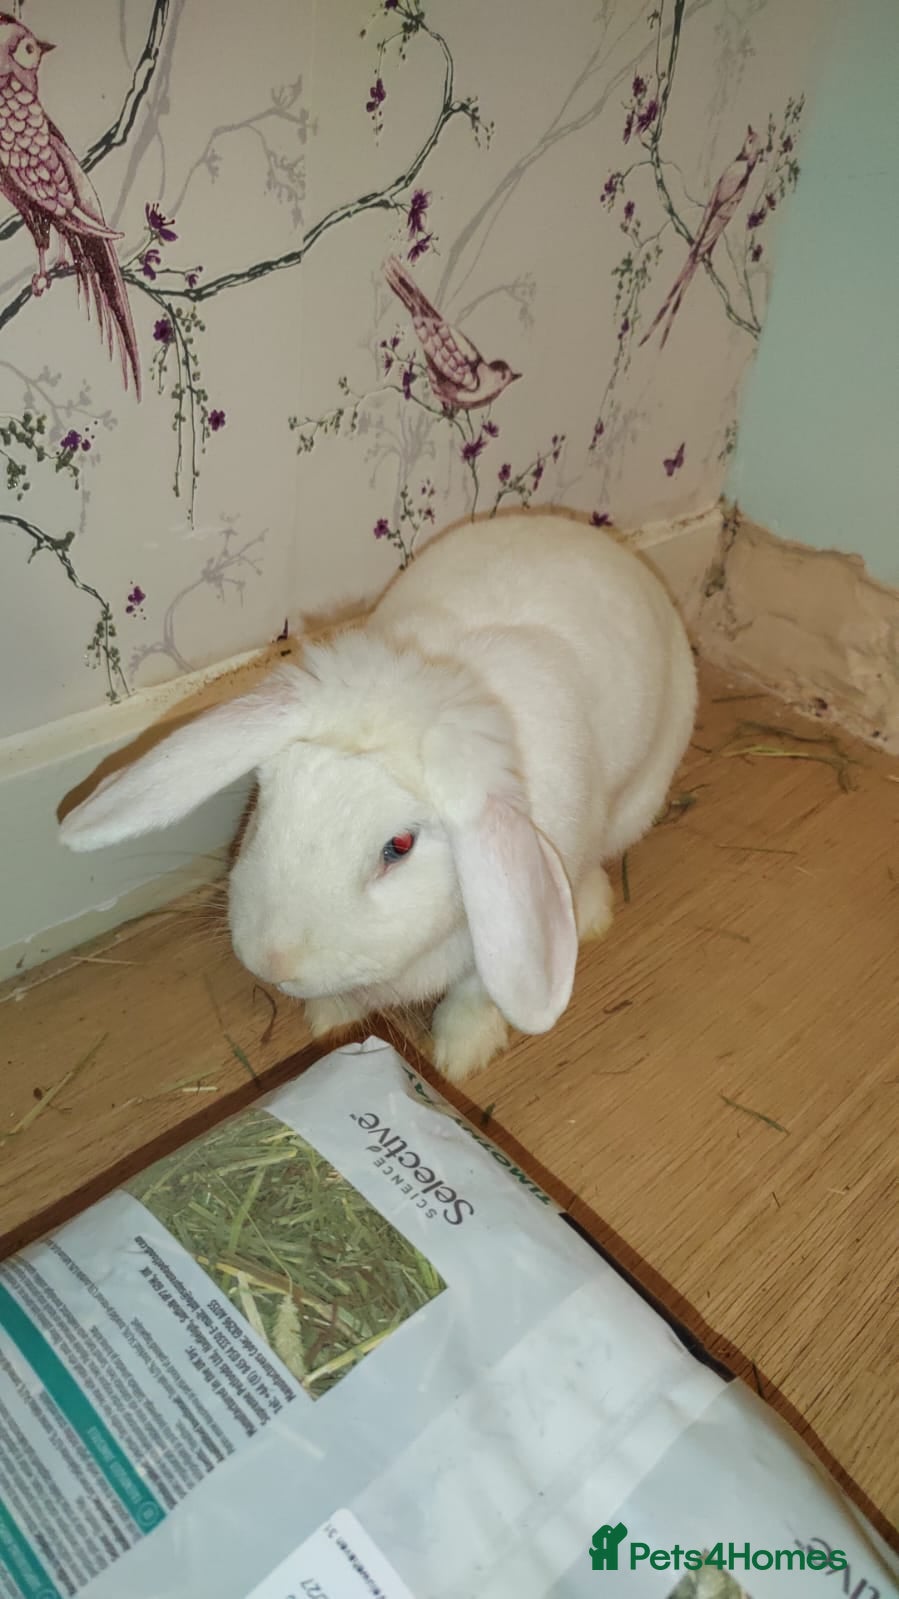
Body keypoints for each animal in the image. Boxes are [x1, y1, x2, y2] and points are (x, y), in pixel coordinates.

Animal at [59, 512, 697, 1082]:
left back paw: (588, 915)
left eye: (400, 845)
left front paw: (460, 1055)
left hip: (631, 807)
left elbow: (479, 994)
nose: (273, 962)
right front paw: (329, 1019)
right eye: (266, 795)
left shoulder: (501, 935)